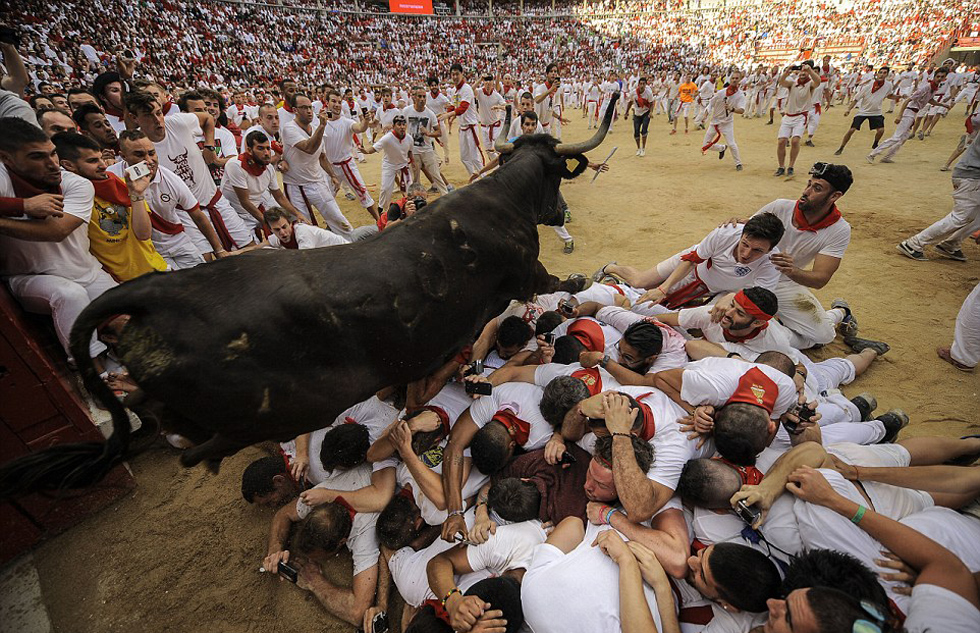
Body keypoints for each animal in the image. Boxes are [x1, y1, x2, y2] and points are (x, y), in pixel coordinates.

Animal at [0, 95, 620, 498]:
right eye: (556, 175)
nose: (559, 213)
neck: (501, 200)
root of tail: (158, 289)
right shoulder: (526, 272)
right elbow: (558, 283)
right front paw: (583, 278)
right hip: (278, 408)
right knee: (196, 445)